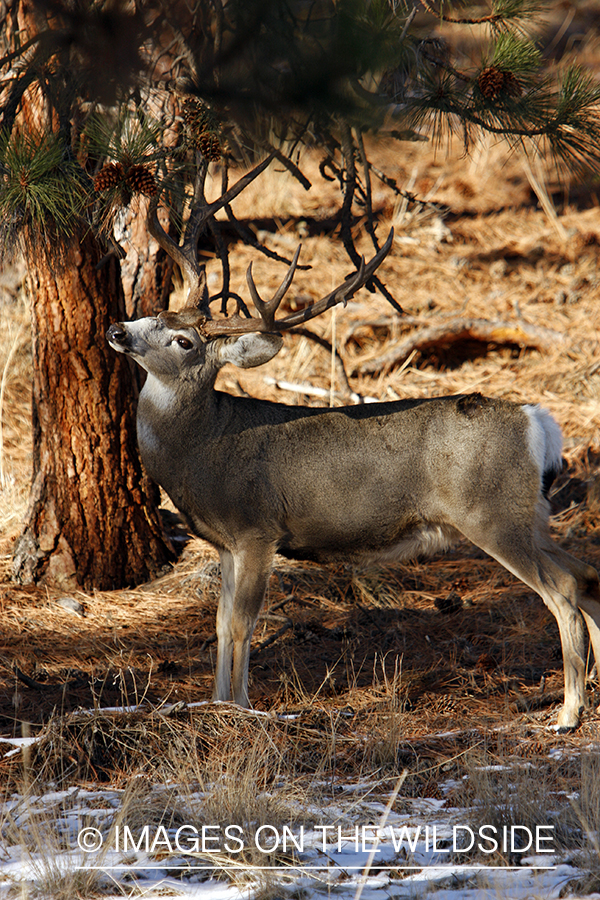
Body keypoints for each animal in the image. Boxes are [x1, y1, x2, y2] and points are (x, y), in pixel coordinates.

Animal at [106, 197, 600, 731]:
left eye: (184, 341)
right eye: (154, 313)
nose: (116, 329)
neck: (203, 447)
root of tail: (536, 421)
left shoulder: (257, 529)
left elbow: (241, 624)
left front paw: (241, 708)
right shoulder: (225, 543)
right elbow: (218, 625)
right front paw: (216, 703)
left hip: (491, 514)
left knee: (563, 586)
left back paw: (569, 712)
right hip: (530, 516)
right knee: (586, 572)